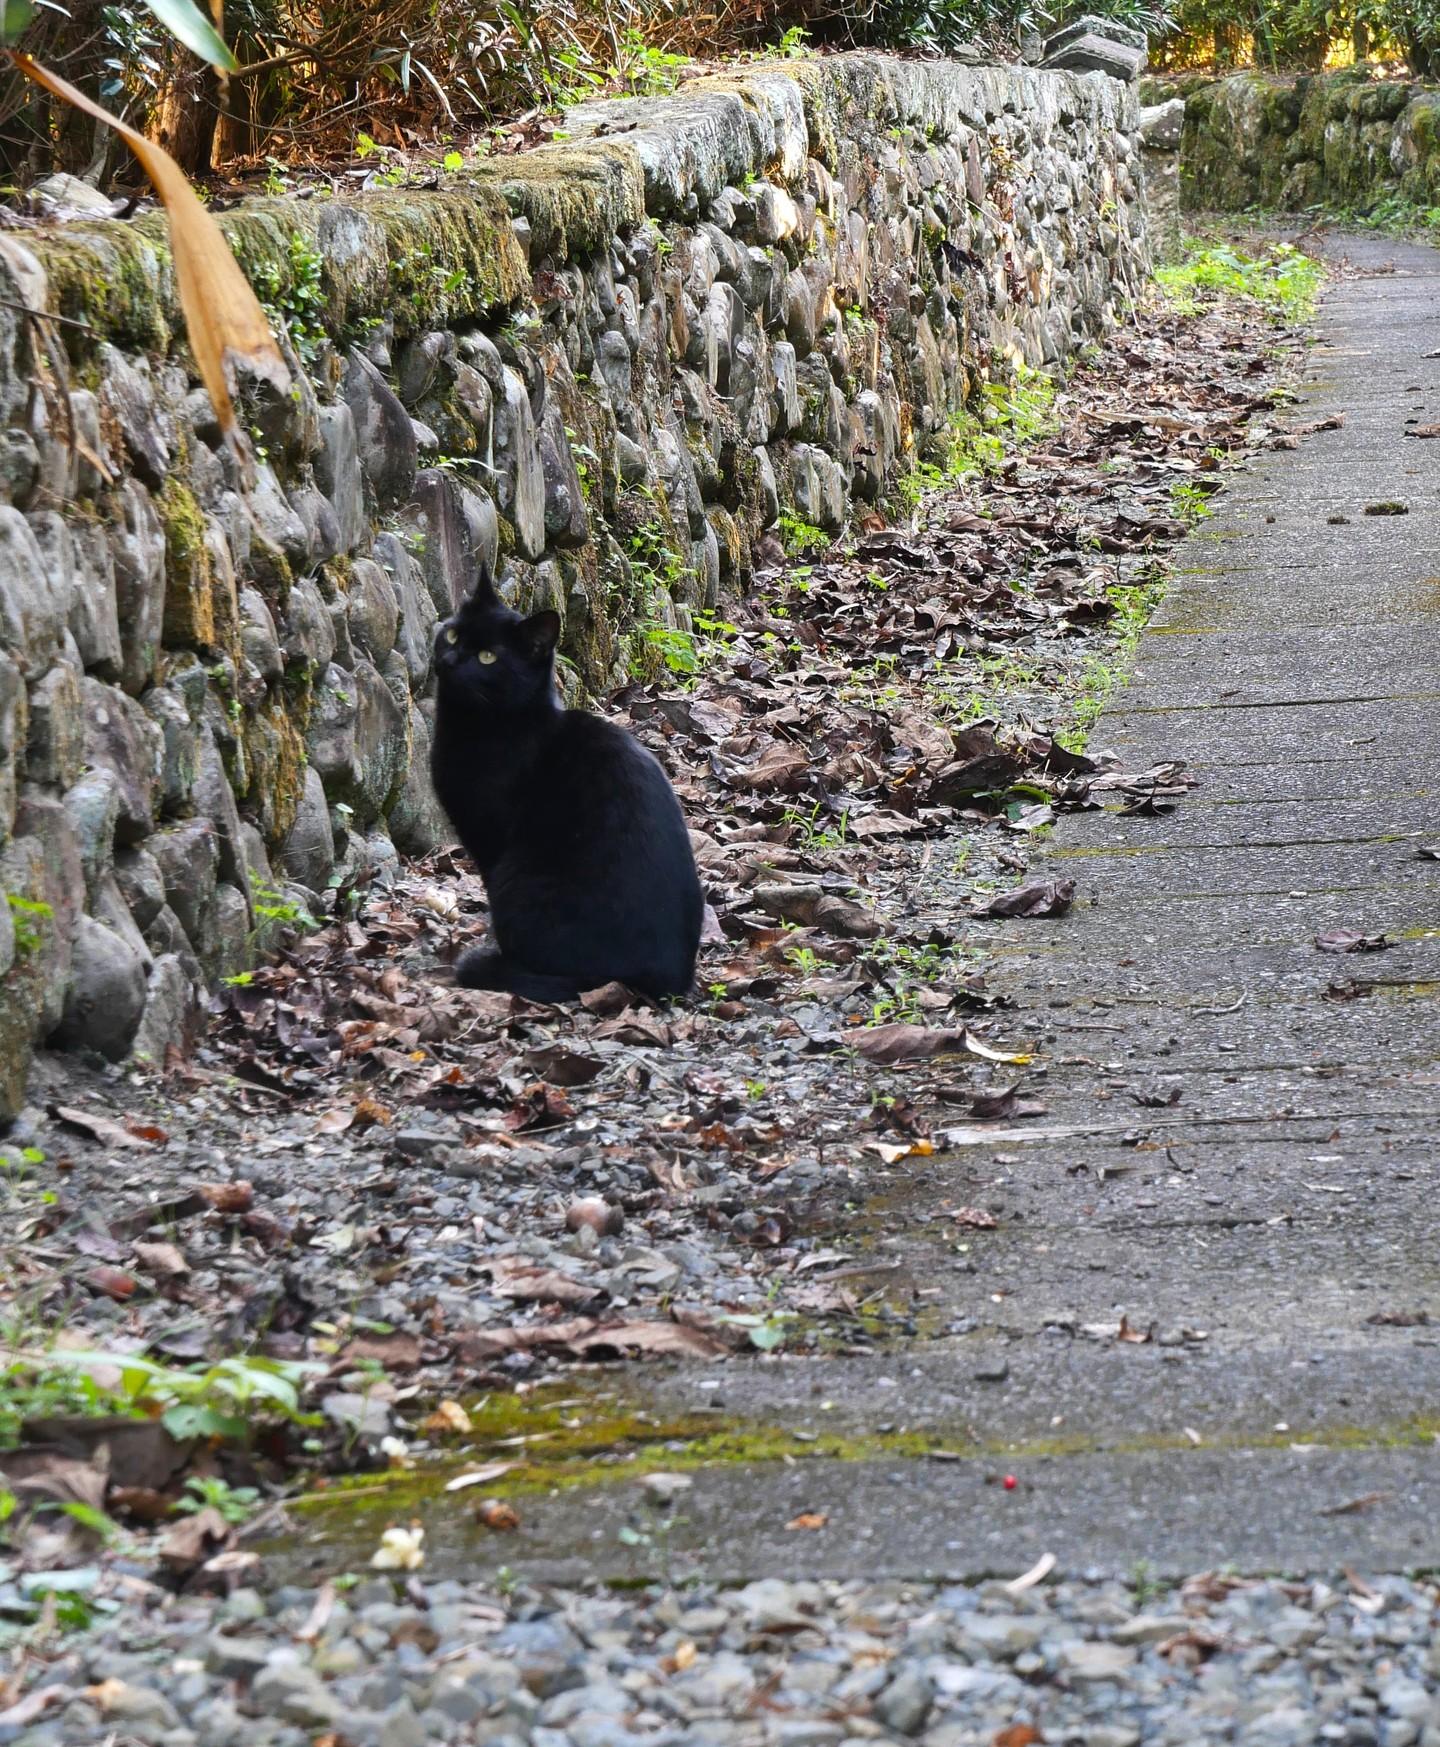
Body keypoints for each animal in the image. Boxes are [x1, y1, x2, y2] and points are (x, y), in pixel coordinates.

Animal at [429, 566, 706, 1006]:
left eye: (488, 657)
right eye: (453, 634)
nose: (450, 659)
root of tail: (670, 980)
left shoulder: (488, 838)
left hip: (520, 877)